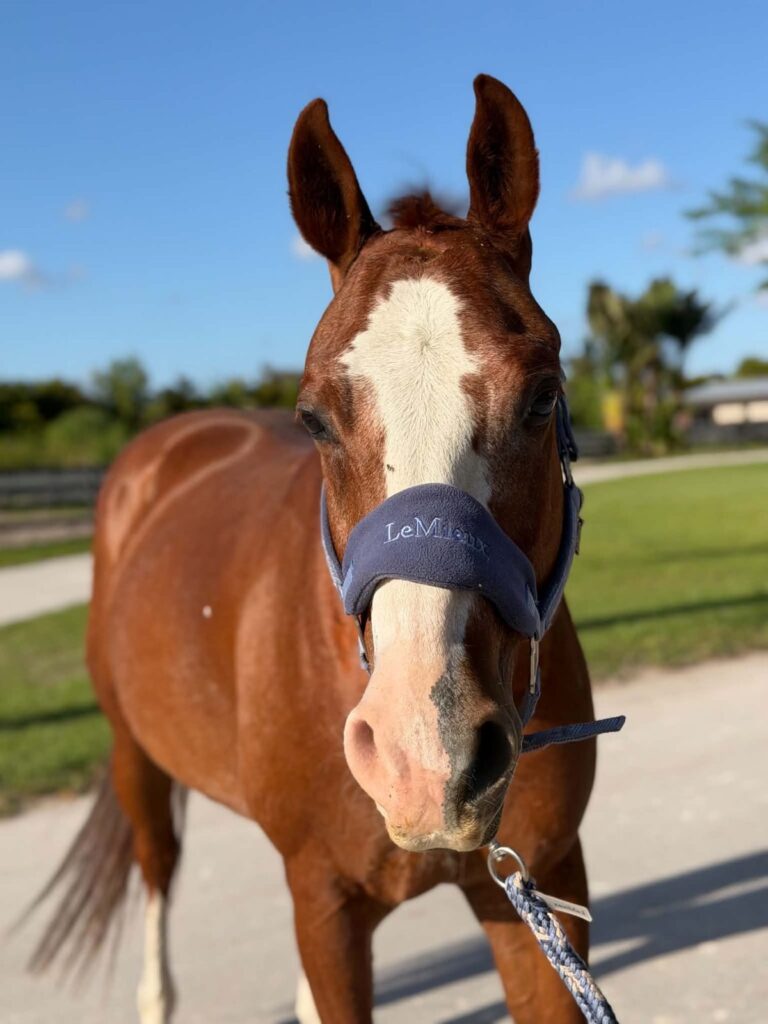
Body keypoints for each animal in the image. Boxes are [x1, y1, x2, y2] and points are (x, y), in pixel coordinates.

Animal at [30, 75, 603, 1023]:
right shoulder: (328, 910)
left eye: (542, 395)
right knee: (157, 885)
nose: (424, 752)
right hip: (135, 760)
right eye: (314, 419)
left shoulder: (540, 891)